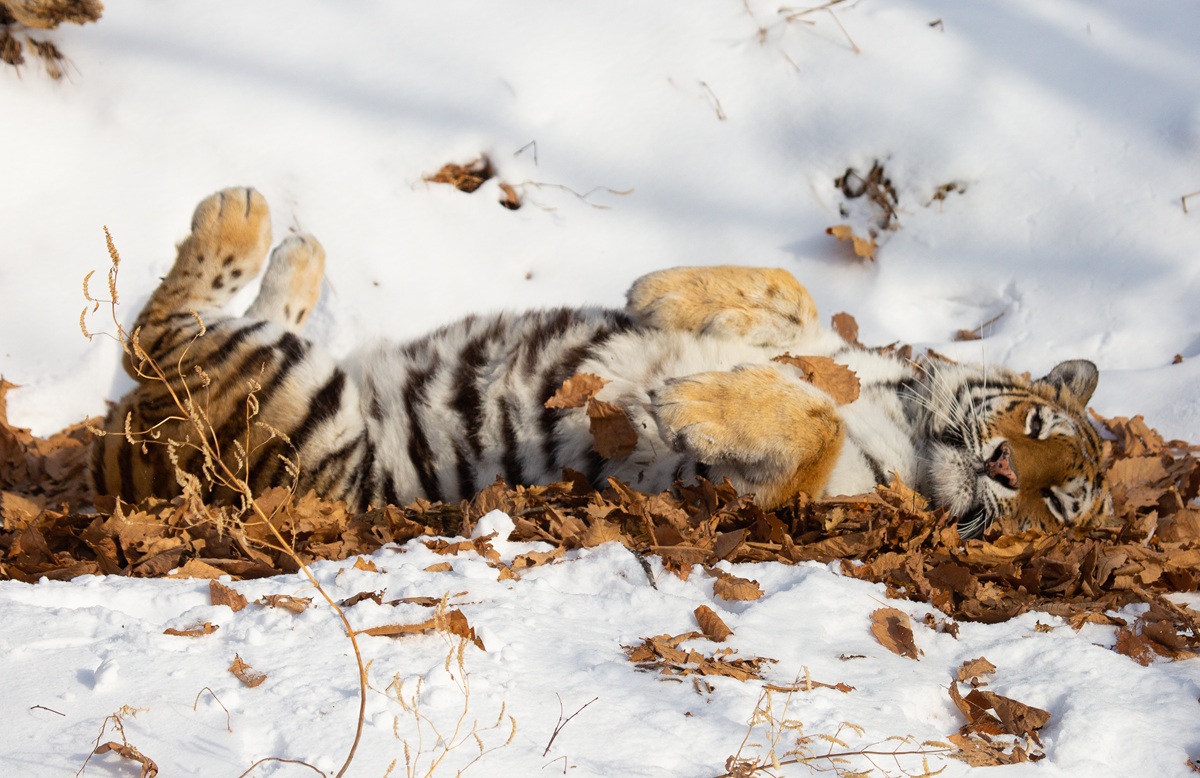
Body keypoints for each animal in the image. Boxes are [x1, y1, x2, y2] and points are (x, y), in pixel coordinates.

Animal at [93, 189, 1113, 540]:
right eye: (1036, 426)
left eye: (1056, 502)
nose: (1006, 468)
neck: (911, 421)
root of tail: (113, 477)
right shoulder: (832, 345)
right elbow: (795, 298)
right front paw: (668, 294)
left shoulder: (762, 498)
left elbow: (810, 421)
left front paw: (694, 398)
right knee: (161, 331)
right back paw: (284, 238)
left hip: (279, 404)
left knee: (155, 332)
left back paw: (250, 219)